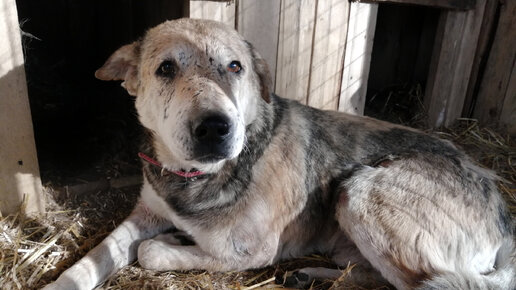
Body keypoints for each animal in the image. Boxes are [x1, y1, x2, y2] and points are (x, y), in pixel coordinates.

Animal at [45, 18, 516, 290]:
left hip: (360, 192)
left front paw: (171, 243)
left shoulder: (251, 251)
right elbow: (97, 256)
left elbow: (151, 251)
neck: (197, 178)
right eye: (165, 68)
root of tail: (503, 215)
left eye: (235, 67)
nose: (215, 127)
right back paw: (308, 276)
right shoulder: (146, 212)